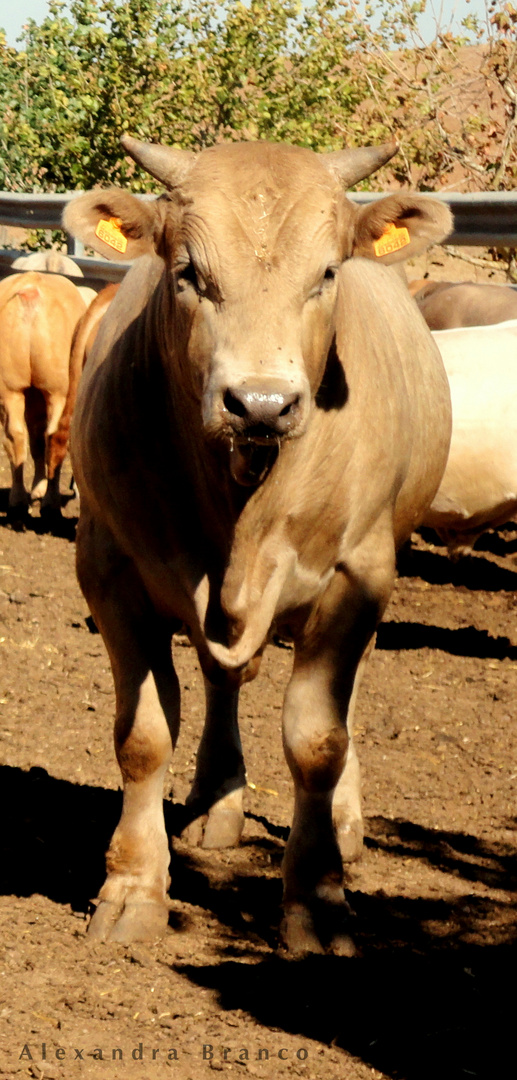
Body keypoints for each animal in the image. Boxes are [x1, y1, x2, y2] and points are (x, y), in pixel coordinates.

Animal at [0, 268, 85, 514]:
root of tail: (30, 294)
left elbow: (36, 440)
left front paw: (37, 488)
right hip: (58, 391)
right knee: (55, 436)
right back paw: (51, 501)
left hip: (10, 389)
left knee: (15, 436)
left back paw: (18, 499)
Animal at [63, 135, 453, 954]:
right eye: (188, 273)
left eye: (328, 273)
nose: (262, 403)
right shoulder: (109, 568)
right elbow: (144, 735)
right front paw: (133, 889)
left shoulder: (357, 572)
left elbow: (317, 738)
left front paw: (318, 900)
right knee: (223, 679)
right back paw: (217, 804)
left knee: (344, 702)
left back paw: (345, 823)